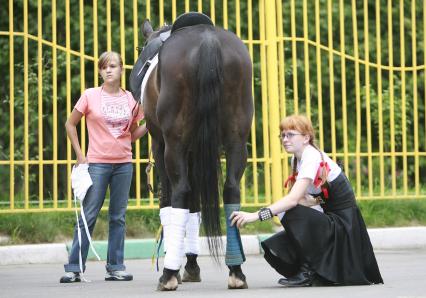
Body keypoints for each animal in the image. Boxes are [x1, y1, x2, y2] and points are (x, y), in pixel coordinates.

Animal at [131, 14, 253, 292]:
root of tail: (207, 40)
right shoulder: (196, 151)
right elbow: (194, 208)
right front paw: (191, 265)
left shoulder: (162, 145)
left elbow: (171, 201)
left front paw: (177, 268)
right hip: (237, 141)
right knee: (231, 189)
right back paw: (236, 270)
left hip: (173, 145)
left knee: (180, 192)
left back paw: (167, 275)